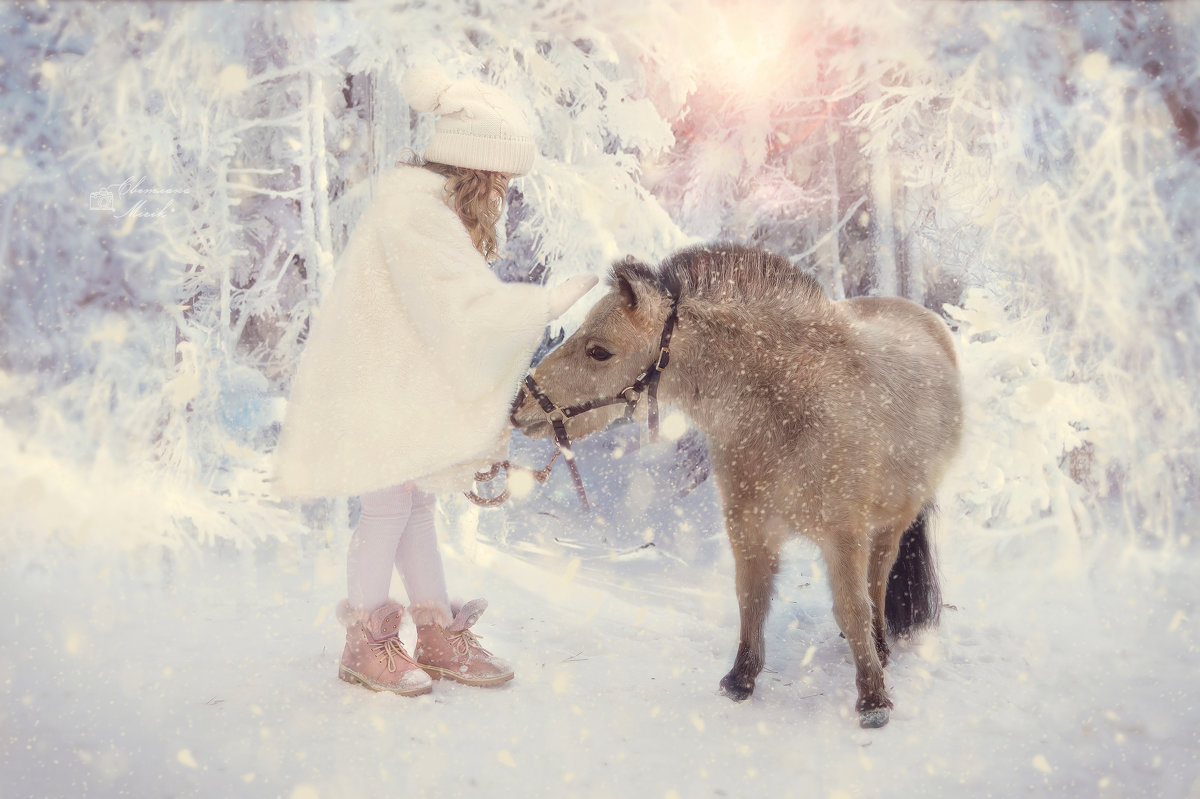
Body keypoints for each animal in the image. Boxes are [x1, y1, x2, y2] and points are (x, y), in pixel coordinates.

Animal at [511, 241, 960, 719]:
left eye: (599, 351)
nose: (519, 406)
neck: (788, 406)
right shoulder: (749, 527)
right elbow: (752, 598)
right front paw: (740, 679)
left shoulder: (845, 535)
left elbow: (852, 607)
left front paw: (873, 699)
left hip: (890, 525)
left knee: (876, 583)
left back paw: (879, 646)